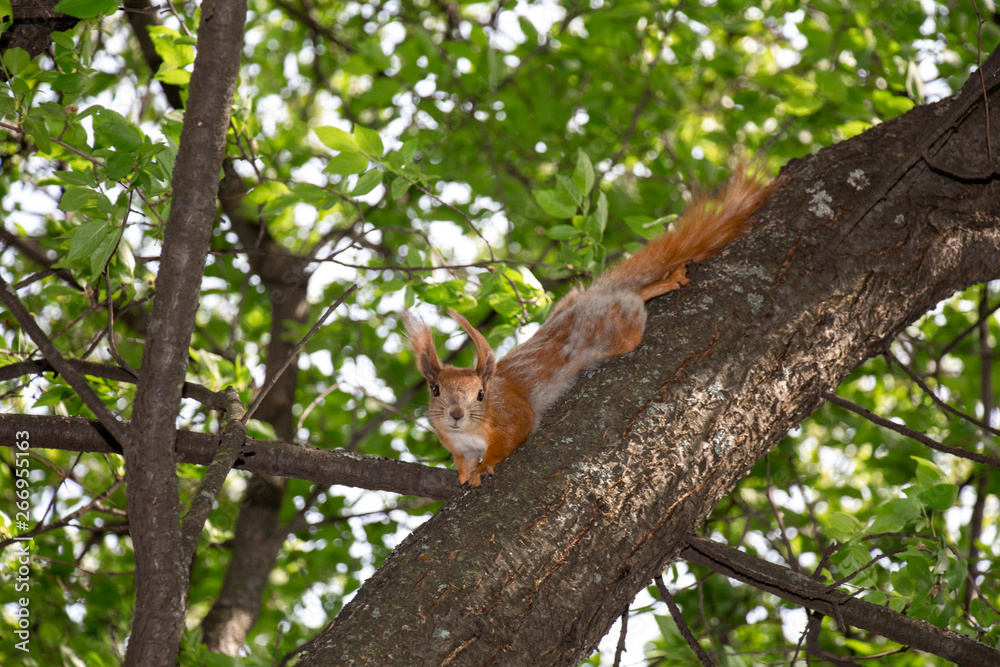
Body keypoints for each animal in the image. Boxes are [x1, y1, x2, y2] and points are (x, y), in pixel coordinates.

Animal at [402, 168, 768, 486]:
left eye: (481, 393)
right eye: (435, 390)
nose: (456, 415)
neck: (468, 433)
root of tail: (596, 295)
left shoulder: (510, 414)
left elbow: (512, 436)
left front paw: (485, 466)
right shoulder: (457, 446)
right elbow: (462, 462)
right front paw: (465, 475)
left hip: (620, 328)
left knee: (635, 299)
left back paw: (662, 284)